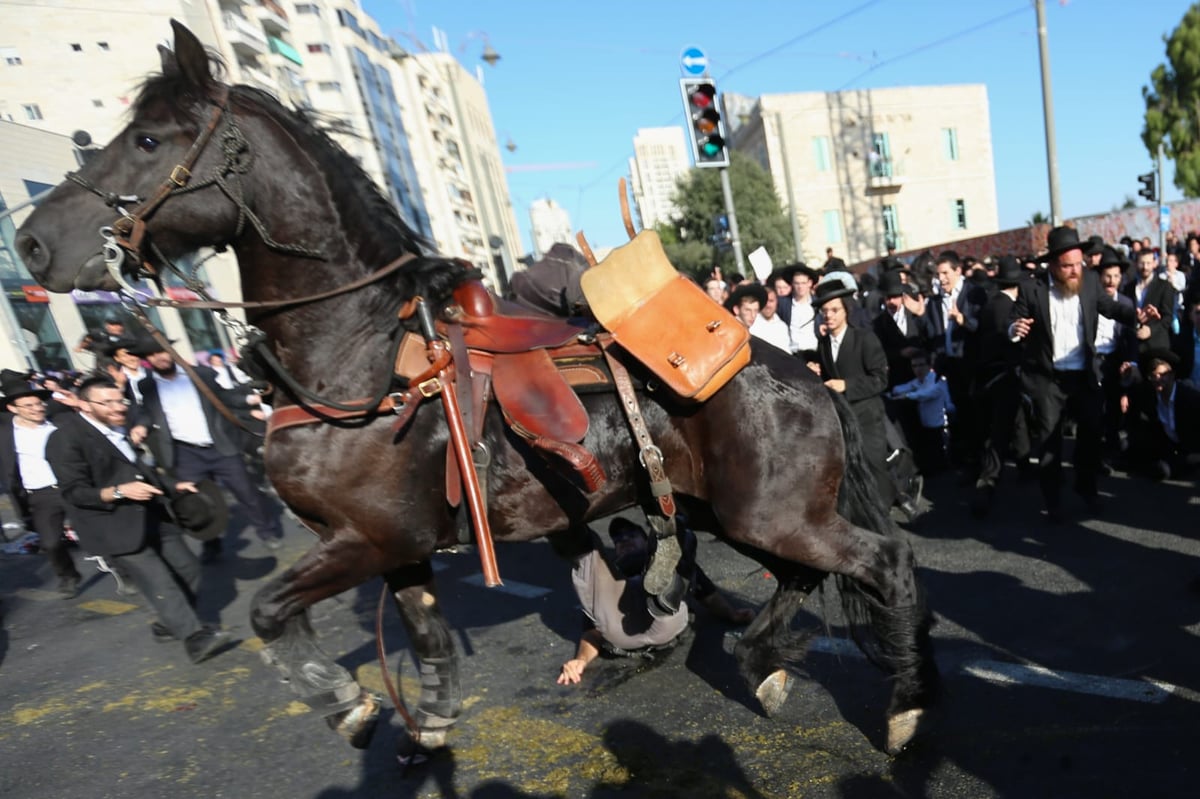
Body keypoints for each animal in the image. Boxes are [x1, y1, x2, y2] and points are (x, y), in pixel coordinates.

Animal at [14, 18, 940, 753]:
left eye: (147, 140)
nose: (30, 243)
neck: (359, 357)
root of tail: (802, 374)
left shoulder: (363, 539)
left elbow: (269, 611)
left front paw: (346, 703)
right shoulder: (400, 547)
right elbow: (425, 639)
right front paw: (425, 723)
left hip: (770, 514)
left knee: (884, 562)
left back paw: (903, 706)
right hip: (732, 511)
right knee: (800, 578)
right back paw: (762, 662)